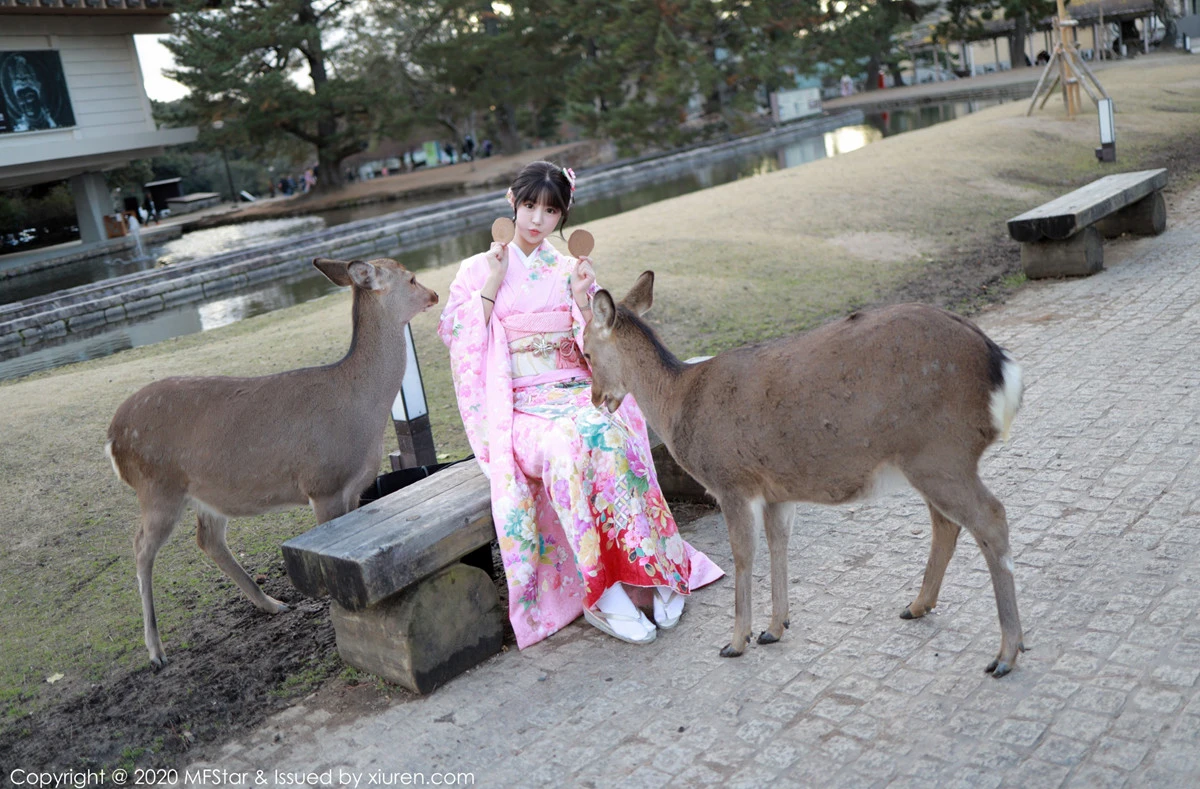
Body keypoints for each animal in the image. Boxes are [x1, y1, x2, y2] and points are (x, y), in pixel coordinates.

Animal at [105, 256, 439, 661]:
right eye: (412, 277)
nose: (435, 294)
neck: (362, 410)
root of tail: (112, 437)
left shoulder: (355, 487)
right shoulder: (323, 483)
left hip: (205, 492)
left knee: (208, 539)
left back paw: (272, 604)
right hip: (156, 487)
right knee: (141, 547)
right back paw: (156, 651)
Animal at [585, 272, 1027, 676]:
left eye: (586, 350)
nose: (595, 397)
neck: (677, 403)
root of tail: (1002, 366)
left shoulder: (732, 482)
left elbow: (744, 556)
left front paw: (736, 641)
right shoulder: (777, 490)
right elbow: (779, 545)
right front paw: (774, 627)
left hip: (941, 452)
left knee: (991, 517)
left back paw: (1006, 653)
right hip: (929, 459)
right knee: (947, 523)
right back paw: (917, 606)